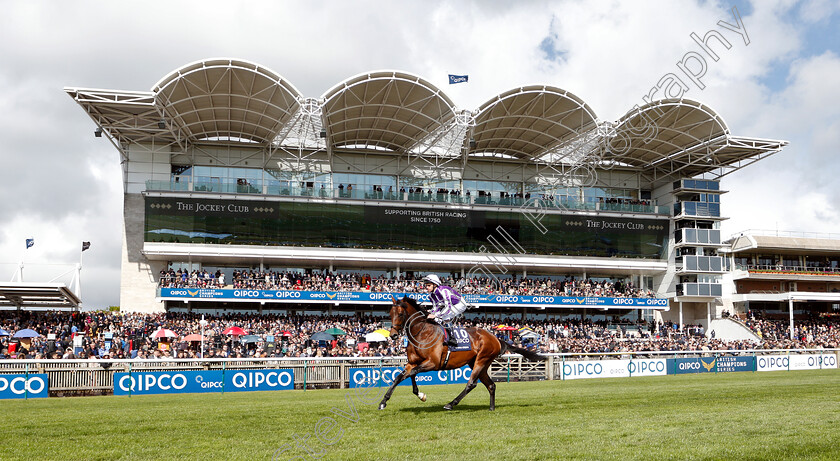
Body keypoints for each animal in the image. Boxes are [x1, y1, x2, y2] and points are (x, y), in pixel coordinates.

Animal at [378, 296, 548, 412]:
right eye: (390, 313)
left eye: (400, 314)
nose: (393, 335)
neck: (422, 333)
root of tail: (496, 338)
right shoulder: (412, 362)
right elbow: (401, 377)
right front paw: (383, 402)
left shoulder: (433, 363)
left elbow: (411, 373)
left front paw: (421, 395)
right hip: (477, 363)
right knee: (491, 385)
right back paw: (491, 408)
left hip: (482, 359)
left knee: (471, 383)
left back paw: (451, 404)